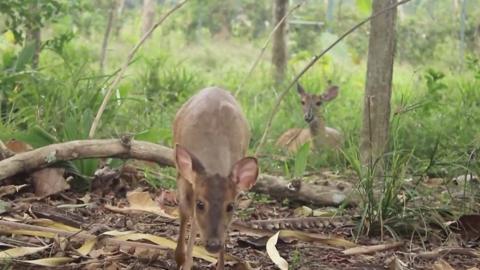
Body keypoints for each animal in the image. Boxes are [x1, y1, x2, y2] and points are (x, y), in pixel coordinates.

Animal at [173, 87, 258, 268]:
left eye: (230, 206)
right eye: (200, 204)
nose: (213, 244)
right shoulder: (187, 181)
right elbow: (191, 219)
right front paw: (186, 262)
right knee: (184, 212)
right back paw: (179, 257)